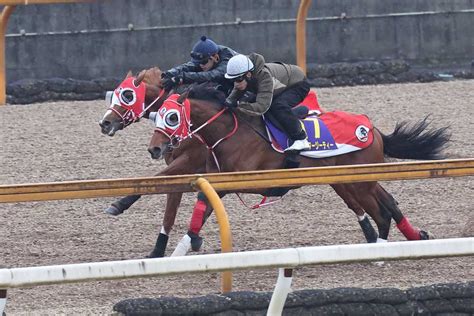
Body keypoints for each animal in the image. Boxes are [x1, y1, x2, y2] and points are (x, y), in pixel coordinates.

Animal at [146, 84, 450, 252]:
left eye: (172, 117)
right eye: (157, 116)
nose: (155, 149)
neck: (231, 132)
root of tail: (372, 129)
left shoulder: (238, 181)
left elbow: (202, 205)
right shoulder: (215, 180)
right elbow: (202, 210)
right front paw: (179, 251)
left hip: (358, 182)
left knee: (382, 212)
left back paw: (381, 251)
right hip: (356, 180)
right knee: (388, 202)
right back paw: (414, 235)